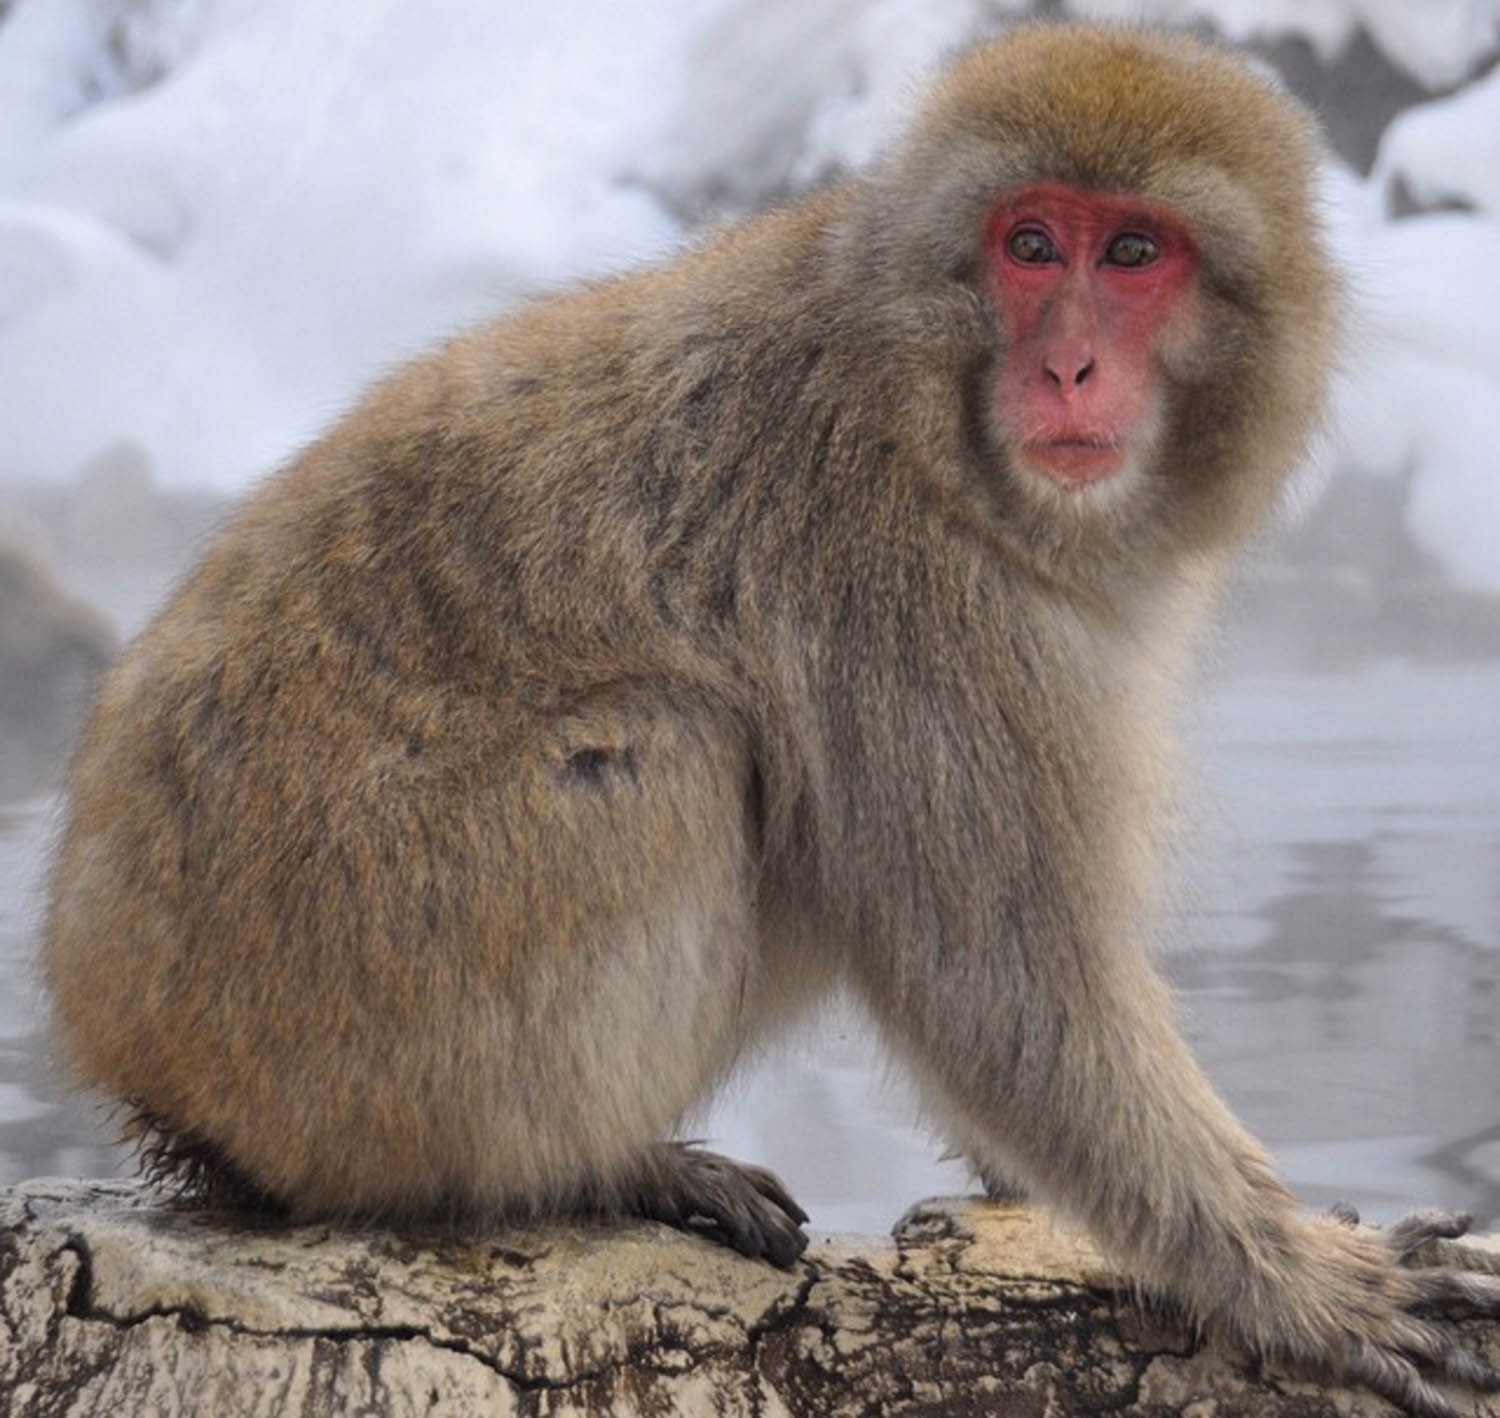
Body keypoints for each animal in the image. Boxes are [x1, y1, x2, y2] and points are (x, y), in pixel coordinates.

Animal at [43, 22, 1500, 1416]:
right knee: (672, 756)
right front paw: (1302, 1277)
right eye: (1031, 245)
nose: (1070, 366)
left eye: (1135, 252)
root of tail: (120, 1021)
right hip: (346, 1000)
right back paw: (580, 1167)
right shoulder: (901, 579)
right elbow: (1000, 977)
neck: (933, 411)